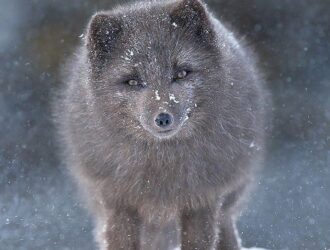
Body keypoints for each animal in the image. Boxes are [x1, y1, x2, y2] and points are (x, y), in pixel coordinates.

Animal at [54, 0, 266, 250]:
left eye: (182, 73)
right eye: (132, 81)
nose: (163, 118)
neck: (161, 169)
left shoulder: (202, 201)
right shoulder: (118, 202)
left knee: (225, 223)